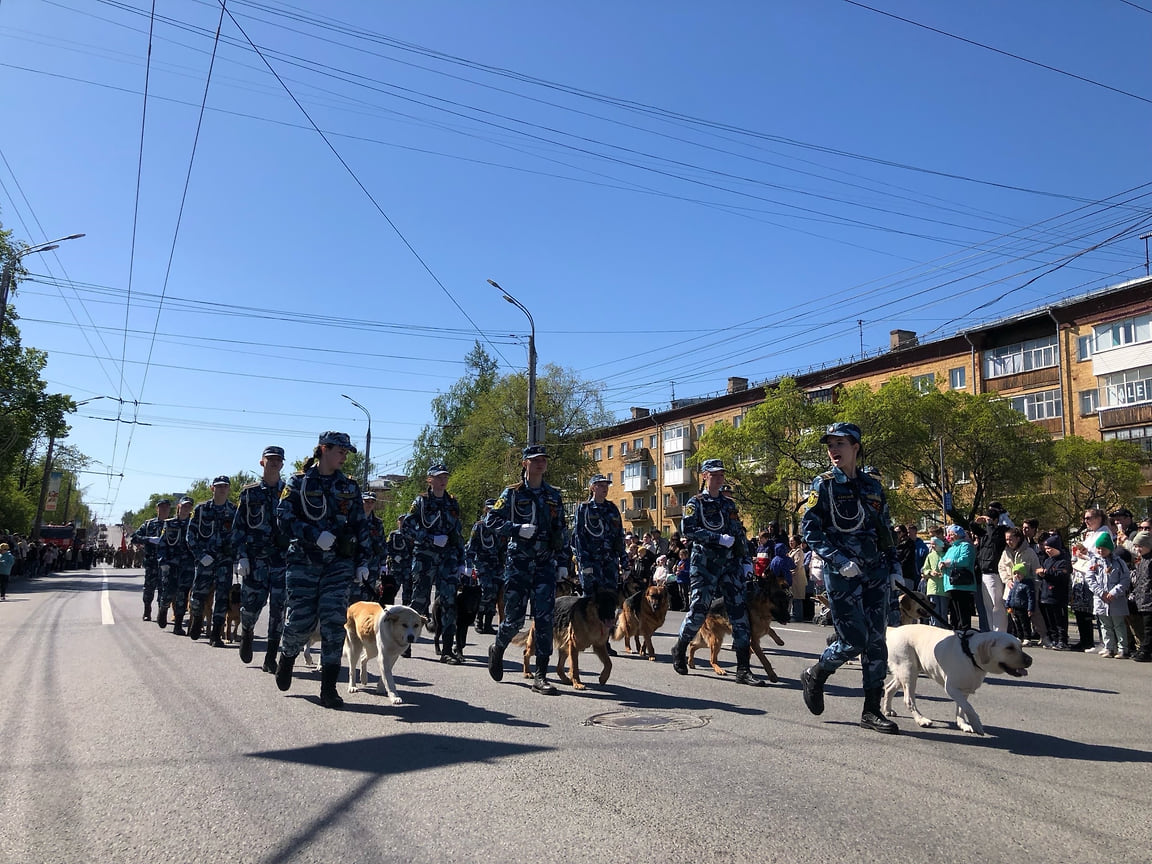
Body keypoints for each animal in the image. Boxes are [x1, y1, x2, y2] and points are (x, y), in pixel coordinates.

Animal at [880, 622, 1036, 737]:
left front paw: (963, 724)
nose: (1030, 660)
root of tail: (894, 630)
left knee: (889, 688)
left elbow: (962, 708)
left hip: (907, 672)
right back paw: (921, 719)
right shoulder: (951, 688)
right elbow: (969, 708)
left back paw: (887, 710)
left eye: (1020, 646)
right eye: (1009, 648)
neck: (970, 654)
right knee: (908, 700)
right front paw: (976, 724)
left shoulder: (964, 689)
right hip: (908, 671)